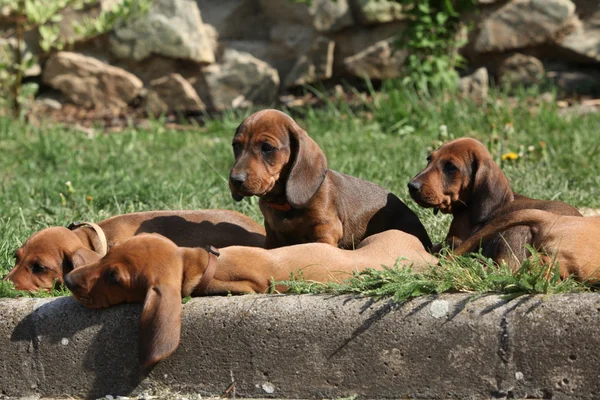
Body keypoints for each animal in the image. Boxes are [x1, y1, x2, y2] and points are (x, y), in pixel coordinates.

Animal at [227, 109, 428, 250]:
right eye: (236, 146)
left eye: (267, 147)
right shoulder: (272, 236)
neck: (284, 203)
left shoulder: (326, 230)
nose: (235, 180)